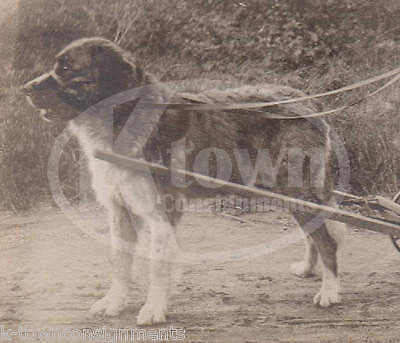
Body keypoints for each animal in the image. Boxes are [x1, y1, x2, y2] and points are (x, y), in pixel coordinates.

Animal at [23, 37, 346, 326]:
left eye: (66, 69)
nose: (25, 89)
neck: (124, 118)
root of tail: (308, 103)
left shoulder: (162, 212)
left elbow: (157, 266)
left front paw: (153, 309)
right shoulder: (120, 210)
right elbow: (120, 262)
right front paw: (114, 302)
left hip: (297, 189)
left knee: (327, 241)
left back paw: (329, 291)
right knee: (313, 234)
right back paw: (307, 269)